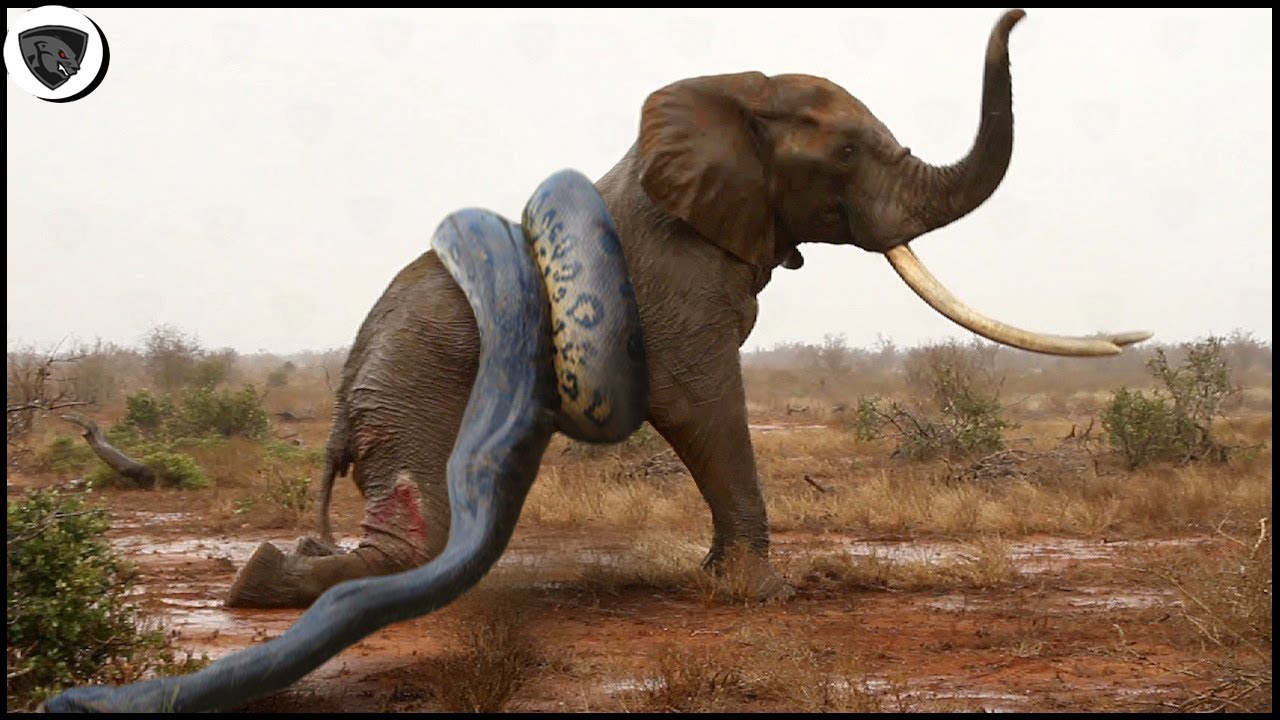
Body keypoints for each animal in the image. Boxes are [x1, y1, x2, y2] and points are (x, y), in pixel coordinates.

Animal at [224, 8, 1148, 610]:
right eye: (848, 151)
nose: (1022, 15)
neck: (733, 97)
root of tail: (343, 396)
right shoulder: (676, 275)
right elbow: (697, 400)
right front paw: (759, 594)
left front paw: (720, 582)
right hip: (419, 379)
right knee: (424, 532)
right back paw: (267, 580)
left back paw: (273, 573)